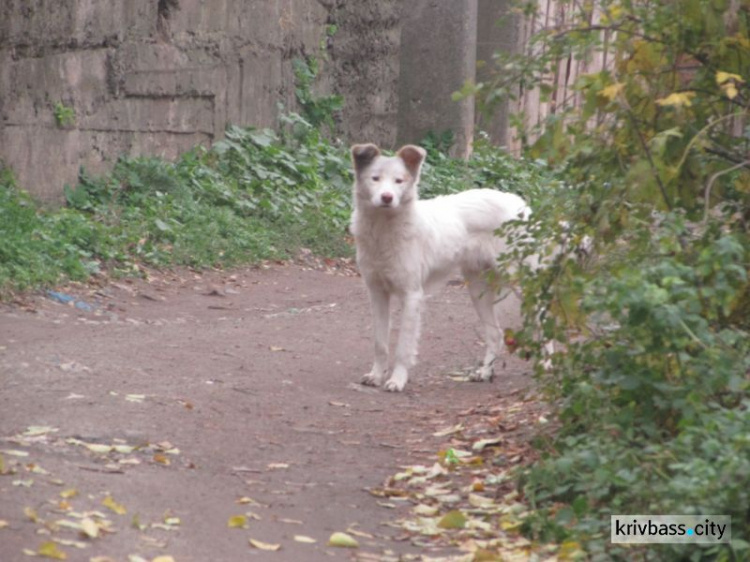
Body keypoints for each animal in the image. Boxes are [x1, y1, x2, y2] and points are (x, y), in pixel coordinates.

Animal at [352, 143, 532, 390]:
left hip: (520, 283)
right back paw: (485, 372)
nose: (387, 197)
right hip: (477, 290)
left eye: (399, 181)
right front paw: (377, 375)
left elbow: (403, 347)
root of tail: (519, 204)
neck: (383, 230)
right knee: (495, 335)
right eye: (375, 178)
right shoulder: (377, 293)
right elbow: (380, 343)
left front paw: (397, 380)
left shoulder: (412, 296)